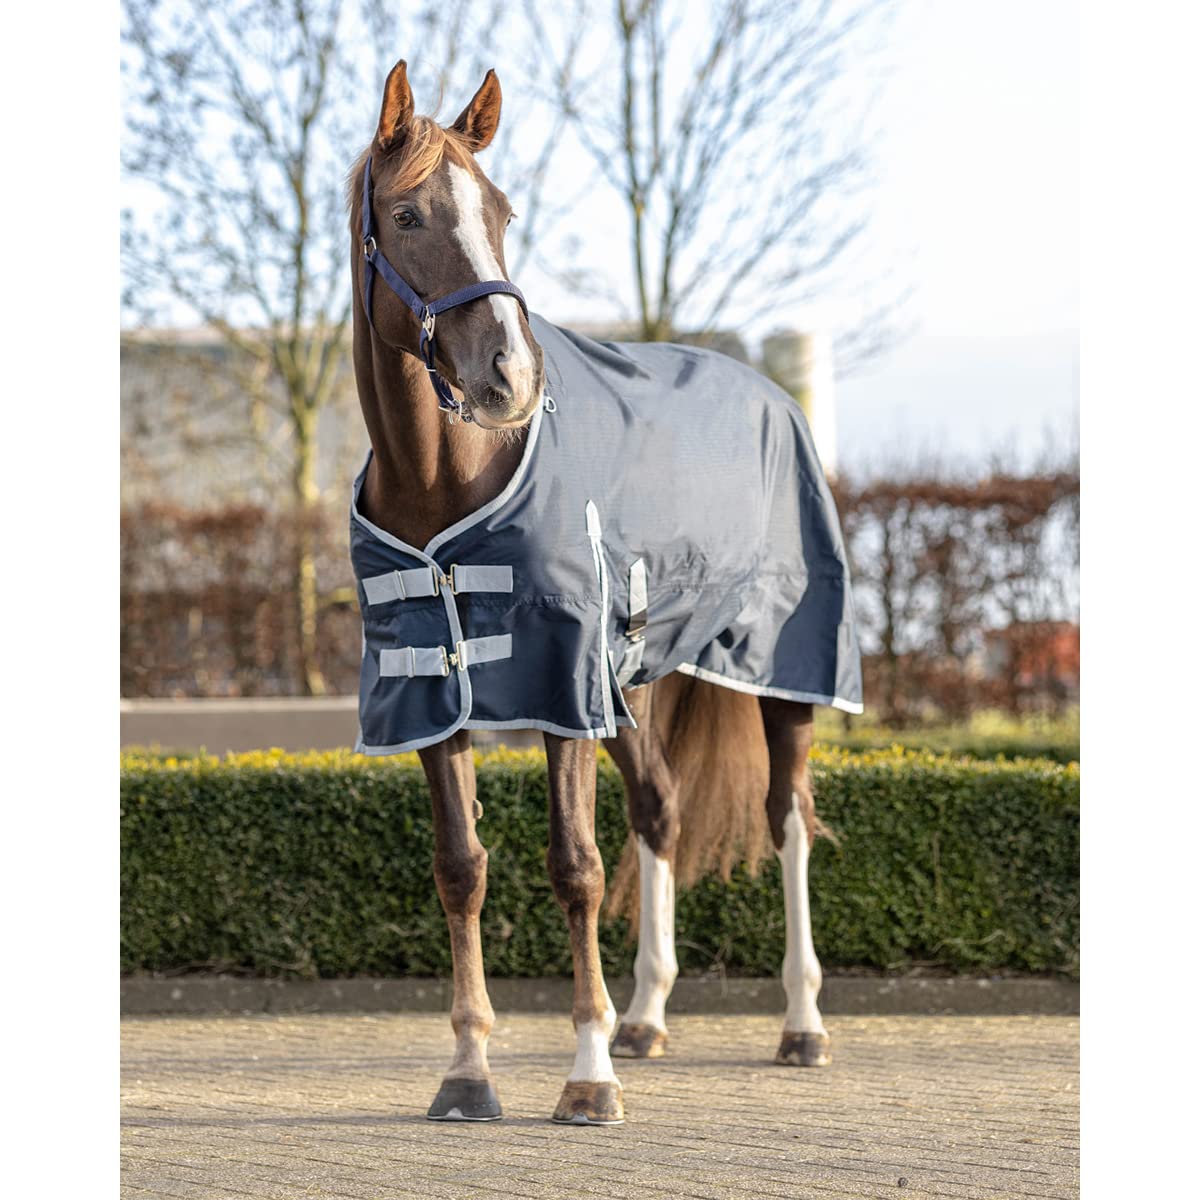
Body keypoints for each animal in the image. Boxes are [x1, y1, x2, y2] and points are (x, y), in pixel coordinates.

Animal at [346, 60, 861, 1126]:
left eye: (501, 212)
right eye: (407, 214)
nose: (507, 376)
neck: (444, 484)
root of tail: (773, 394)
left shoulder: (559, 685)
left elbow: (575, 869)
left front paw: (587, 1078)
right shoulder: (435, 693)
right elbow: (461, 869)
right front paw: (469, 1073)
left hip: (782, 673)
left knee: (788, 819)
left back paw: (801, 1024)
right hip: (630, 684)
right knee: (661, 808)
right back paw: (648, 1017)